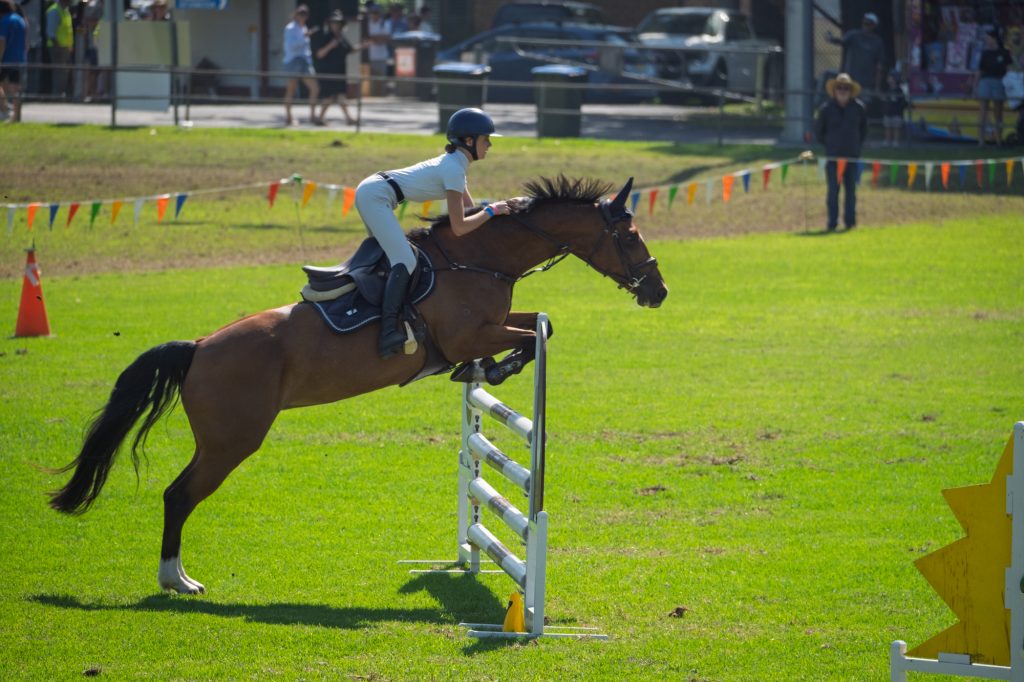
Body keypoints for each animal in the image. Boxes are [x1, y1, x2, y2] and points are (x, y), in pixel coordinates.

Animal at [48, 175, 669, 594]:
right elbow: (532, 334)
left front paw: (485, 370)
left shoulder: (486, 326)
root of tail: (199, 347)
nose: (658, 291)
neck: (479, 259)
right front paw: (493, 369)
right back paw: (177, 580)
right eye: (631, 234)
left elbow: (538, 325)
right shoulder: (469, 333)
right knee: (179, 495)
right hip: (231, 440)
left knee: (179, 494)